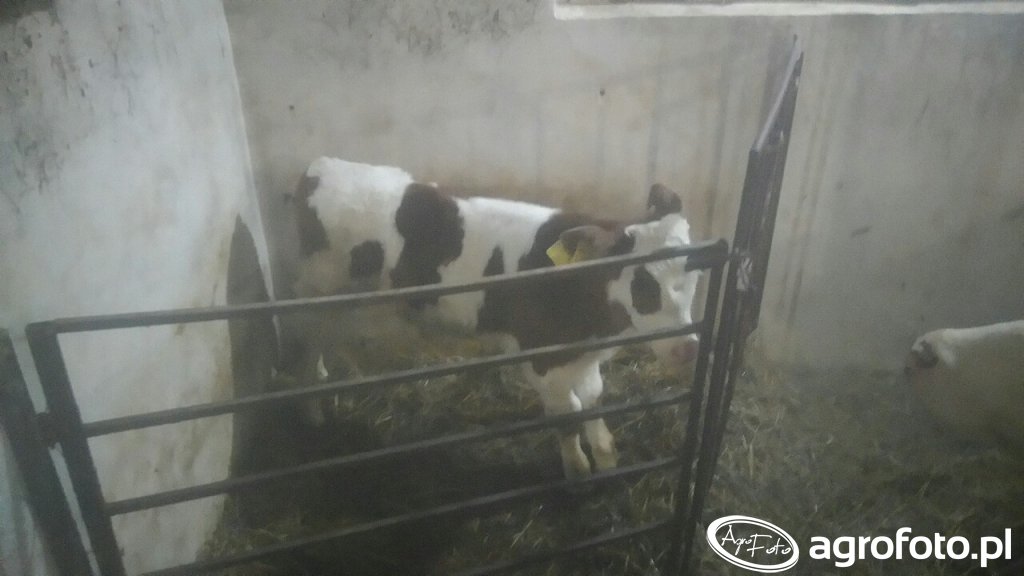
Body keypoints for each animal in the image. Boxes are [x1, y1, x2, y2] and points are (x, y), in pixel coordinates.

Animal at [285, 157, 704, 479]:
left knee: (319, 338)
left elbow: (595, 401)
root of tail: (320, 167)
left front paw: (606, 459)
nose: (687, 348)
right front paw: (577, 471)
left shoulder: (582, 356)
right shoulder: (543, 361)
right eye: (643, 282)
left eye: (694, 271)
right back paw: (310, 412)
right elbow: (567, 416)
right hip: (318, 290)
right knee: (306, 339)